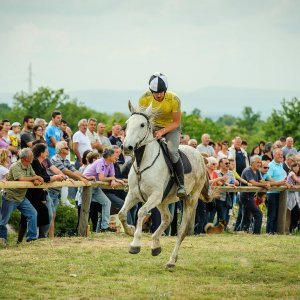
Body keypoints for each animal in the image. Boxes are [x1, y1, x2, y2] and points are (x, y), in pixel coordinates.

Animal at [118, 101, 211, 268]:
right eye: (126, 124)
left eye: (142, 124)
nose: (126, 148)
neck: (143, 163)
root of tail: (200, 155)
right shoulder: (134, 194)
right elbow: (122, 214)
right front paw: (130, 230)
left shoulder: (154, 196)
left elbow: (141, 212)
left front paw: (135, 244)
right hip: (164, 201)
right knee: (167, 218)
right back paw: (156, 245)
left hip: (190, 199)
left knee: (181, 231)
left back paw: (171, 261)